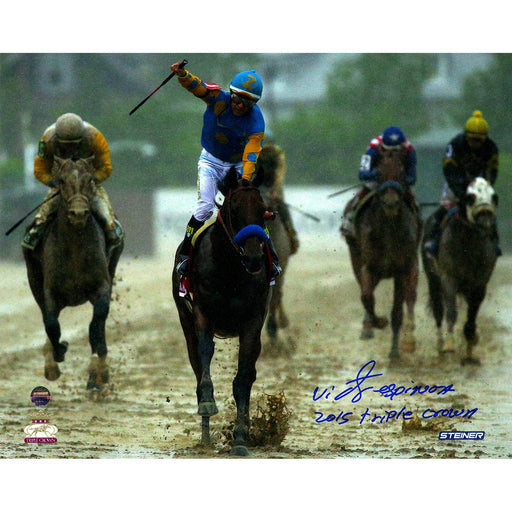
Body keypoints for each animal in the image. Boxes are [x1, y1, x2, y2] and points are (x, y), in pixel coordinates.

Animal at [22, 158, 124, 390]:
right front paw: (57, 355)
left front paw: (98, 373)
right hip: (34, 278)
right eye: (61, 180)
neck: (75, 250)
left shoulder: (101, 286)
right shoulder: (50, 291)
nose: (78, 213)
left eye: (91, 179)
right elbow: (51, 324)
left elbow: (96, 325)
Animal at [172, 168, 274, 456]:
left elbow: (243, 379)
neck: (229, 269)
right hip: (185, 320)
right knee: (197, 364)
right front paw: (207, 403)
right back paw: (205, 435)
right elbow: (205, 355)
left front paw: (240, 438)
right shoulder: (202, 312)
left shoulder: (253, 320)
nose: (254, 258)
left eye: (263, 210)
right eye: (235, 209)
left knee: (249, 373)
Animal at [344, 152, 420, 360]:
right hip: (356, 257)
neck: (388, 230)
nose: (391, 202)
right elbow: (366, 297)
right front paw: (376, 323)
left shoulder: (401, 269)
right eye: (378, 172)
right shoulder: (369, 267)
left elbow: (398, 312)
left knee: (410, 297)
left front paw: (397, 350)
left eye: (401, 171)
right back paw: (368, 326)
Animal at [422, 178, 498, 366]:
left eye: (494, 196)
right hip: (433, 280)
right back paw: (440, 344)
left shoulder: (480, 284)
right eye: (470, 197)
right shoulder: (449, 278)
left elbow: (471, 318)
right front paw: (449, 345)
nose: (486, 220)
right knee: (438, 310)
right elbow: (451, 313)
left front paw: (470, 348)